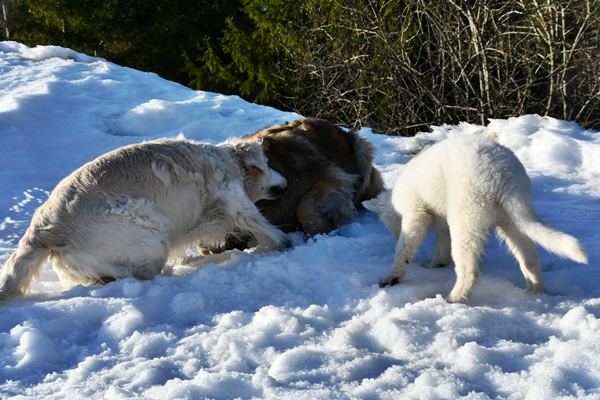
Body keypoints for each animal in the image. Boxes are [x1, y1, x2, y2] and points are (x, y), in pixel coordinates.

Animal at [0, 138, 290, 304]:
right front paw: (282, 243)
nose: (286, 182)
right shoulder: (232, 196)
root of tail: (43, 229)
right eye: (268, 163)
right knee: (142, 275)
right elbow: (264, 227)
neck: (225, 160)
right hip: (148, 232)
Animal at [364, 134, 588, 304]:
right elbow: (440, 250)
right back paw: (535, 293)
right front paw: (434, 265)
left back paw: (453, 298)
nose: (394, 237)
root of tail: (504, 176)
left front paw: (391, 277)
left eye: (391, 227)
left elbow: (405, 250)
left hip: (467, 220)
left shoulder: (416, 214)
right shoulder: (444, 223)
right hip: (513, 220)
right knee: (530, 261)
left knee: (470, 272)